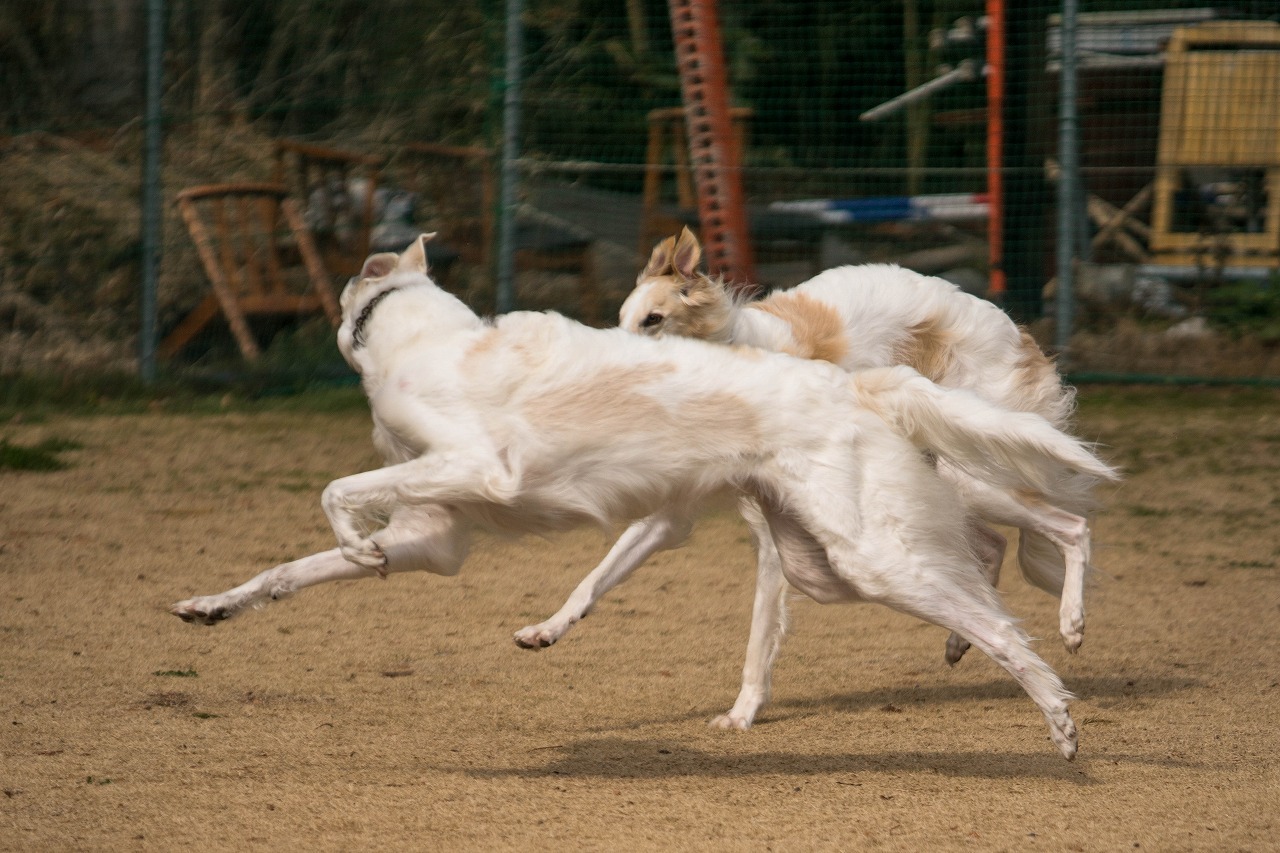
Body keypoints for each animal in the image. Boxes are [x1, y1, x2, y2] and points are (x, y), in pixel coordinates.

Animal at [170, 234, 1111, 758]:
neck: (424, 338)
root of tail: (859, 381)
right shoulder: (434, 536)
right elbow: (287, 572)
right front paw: (213, 604)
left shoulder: (477, 466)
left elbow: (337, 491)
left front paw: (350, 535)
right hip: (821, 562)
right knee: (982, 583)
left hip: (874, 551)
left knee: (1014, 606)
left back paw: (1061, 712)